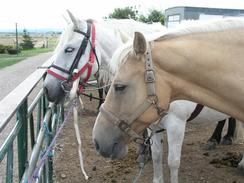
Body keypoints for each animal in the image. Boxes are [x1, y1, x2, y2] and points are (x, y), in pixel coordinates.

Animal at [91, 17, 244, 178]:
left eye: (120, 86)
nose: (97, 142)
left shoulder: (176, 125)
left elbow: (173, 162)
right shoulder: (154, 126)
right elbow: (157, 157)